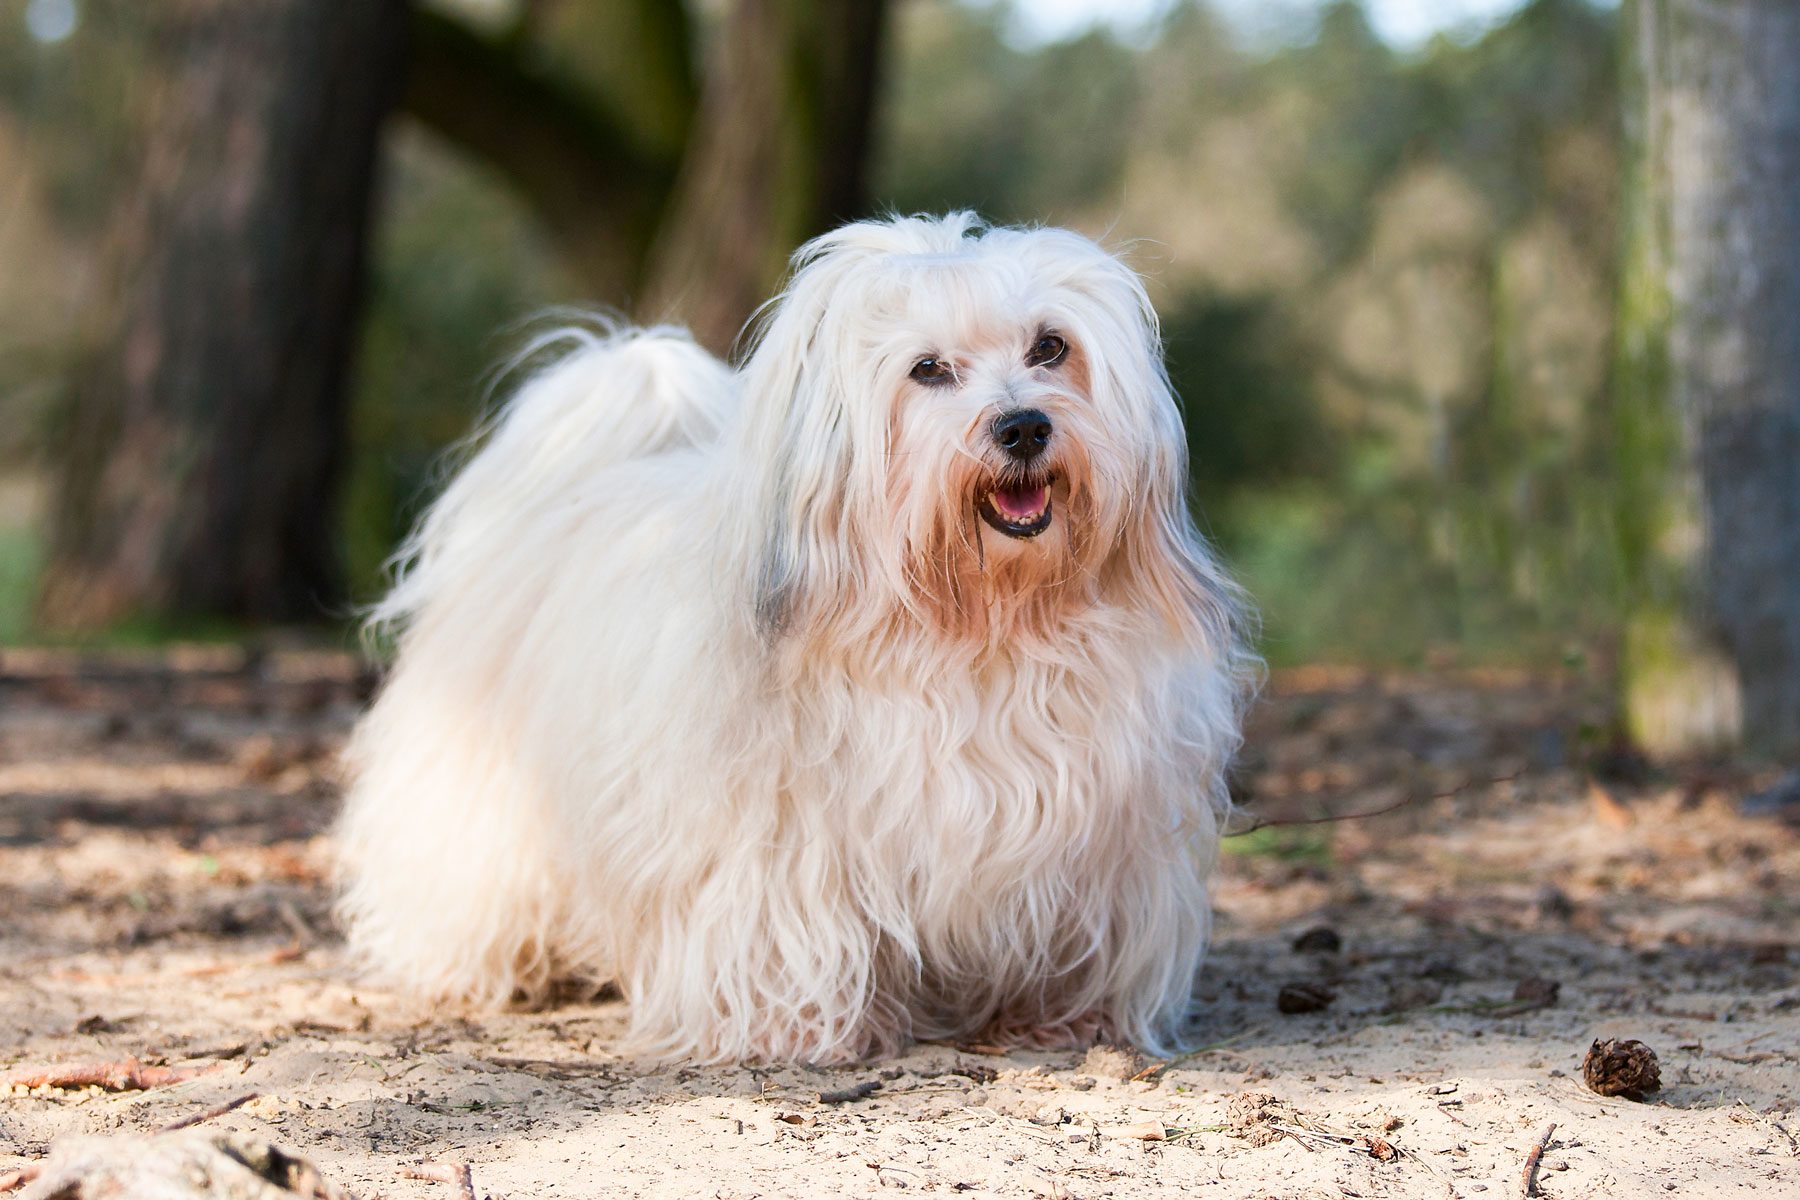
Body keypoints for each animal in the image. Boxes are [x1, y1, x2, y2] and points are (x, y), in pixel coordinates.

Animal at [340, 213, 1267, 1057]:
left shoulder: (1098, 834)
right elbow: (786, 918)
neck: (973, 628)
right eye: (927, 369)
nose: (1025, 426)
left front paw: (1064, 1013)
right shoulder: (779, 836)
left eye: (1050, 347)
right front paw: (793, 1025)